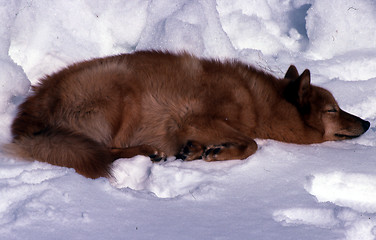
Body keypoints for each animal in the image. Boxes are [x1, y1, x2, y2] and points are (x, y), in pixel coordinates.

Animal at [5, 51, 370, 178]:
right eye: (333, 109)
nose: (368, 122)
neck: (257, 101)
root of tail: (28, 115)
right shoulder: (197, 119)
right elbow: (251, 144)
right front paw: (216, 152)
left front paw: (196, 150)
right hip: (124, 91)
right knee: (107, 150)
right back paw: (149, 152)